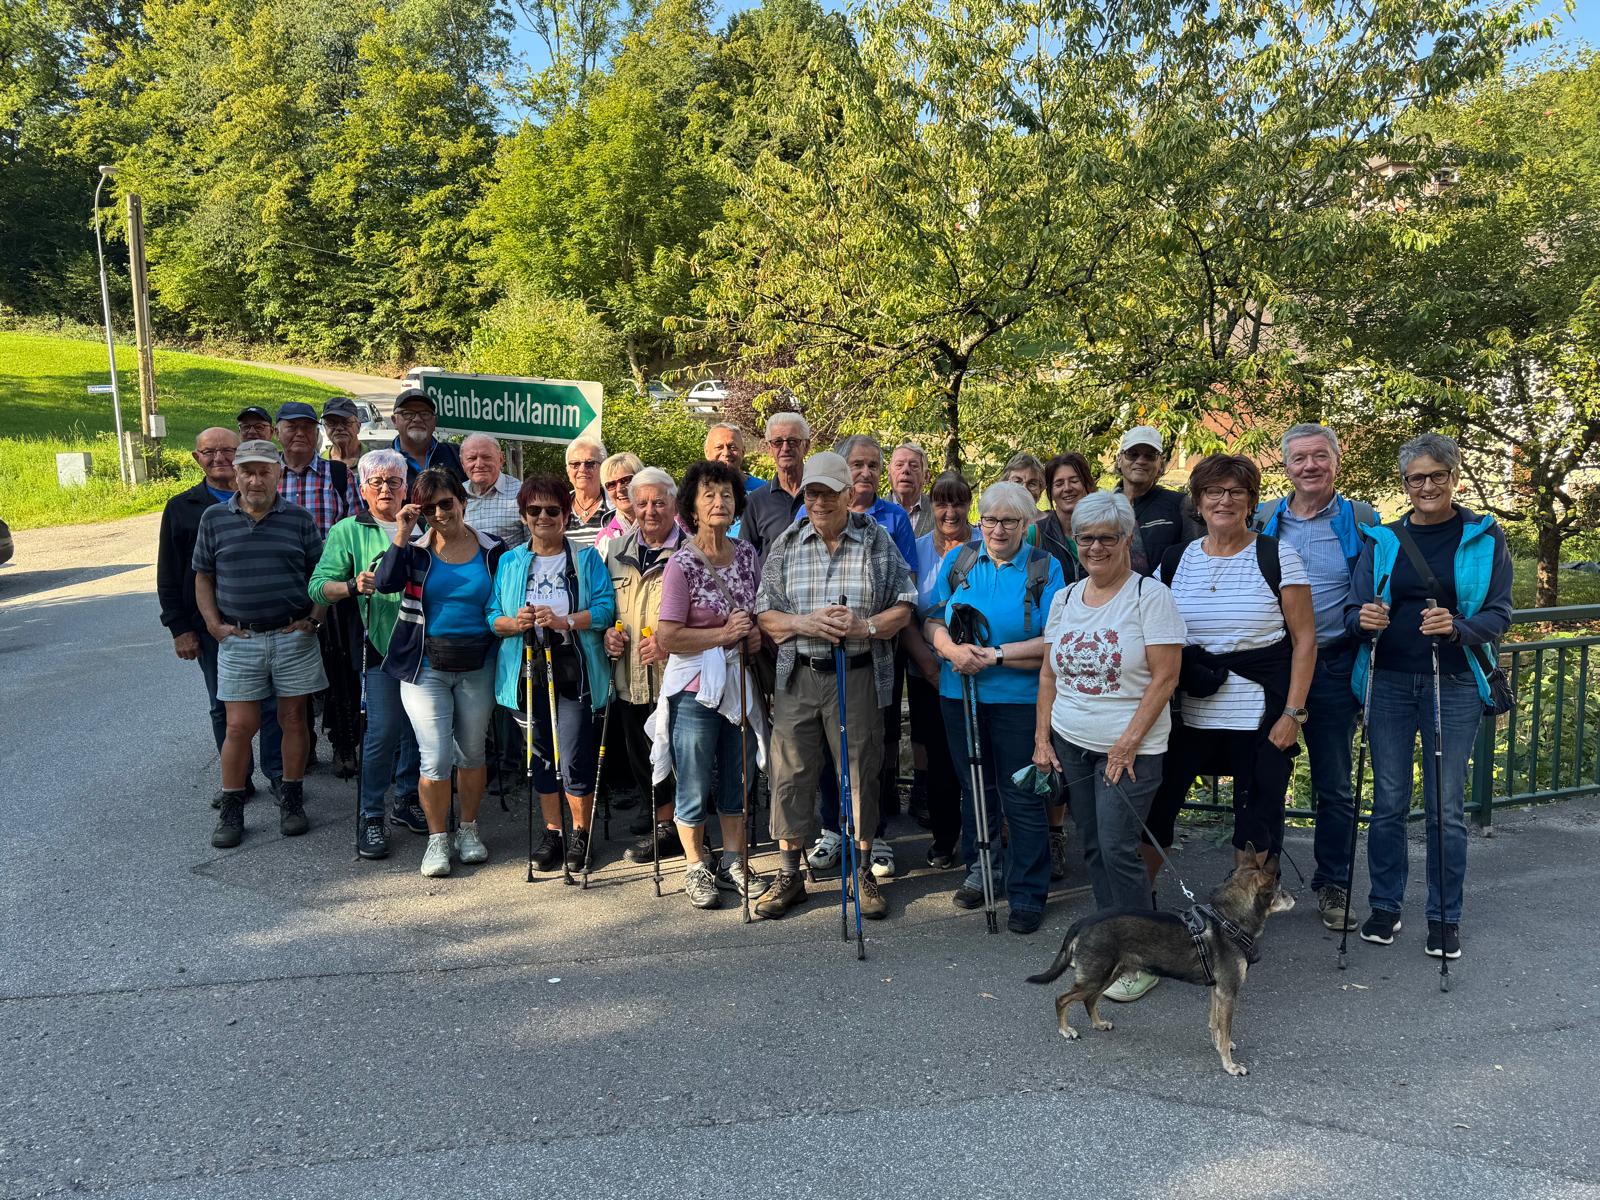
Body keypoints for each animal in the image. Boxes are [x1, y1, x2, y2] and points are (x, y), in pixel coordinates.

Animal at [1026, 848, 1294, 1076]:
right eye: (1280, 889)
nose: (1294, 897)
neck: (1227, 921)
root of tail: (1081, 923)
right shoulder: (1228, 991)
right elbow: (1224, 1028)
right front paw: (1229, 1065)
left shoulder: (1217, 991)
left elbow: (1216, 1024)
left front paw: (1220, 1046)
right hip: (1095, 977)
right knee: (1062, 999)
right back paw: (1065, 1030)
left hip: (1108, 974)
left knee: (1089, 1000)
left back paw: (1098, 1024)